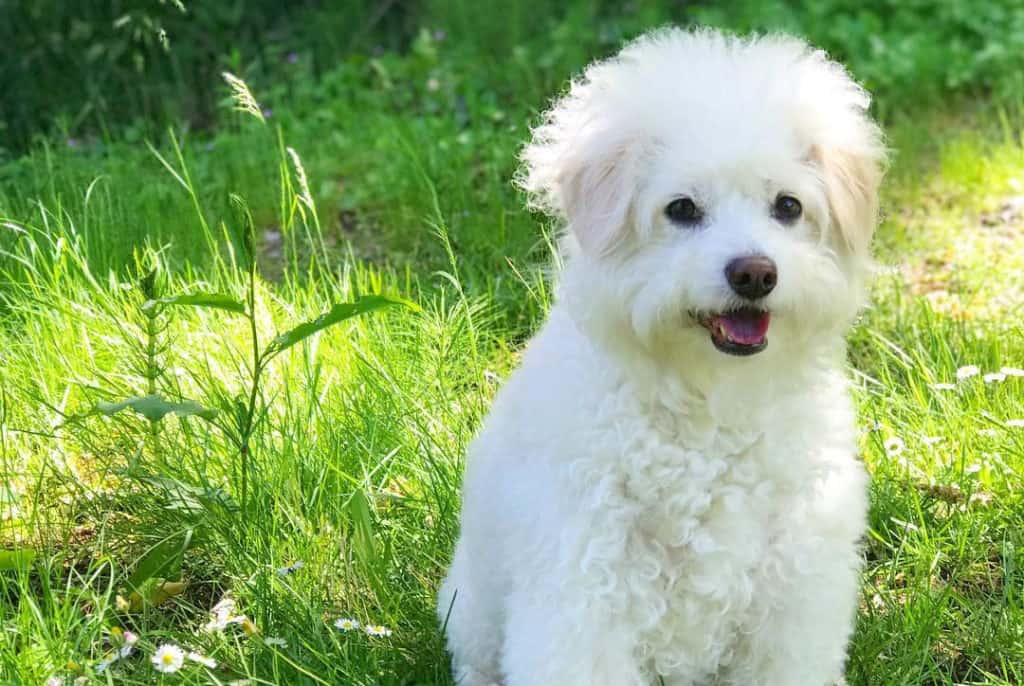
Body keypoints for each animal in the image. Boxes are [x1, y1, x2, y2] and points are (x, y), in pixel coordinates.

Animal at [440, 28, 888, 686]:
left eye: (788, 206)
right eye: (681, 208)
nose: (755, 273)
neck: (710, 403)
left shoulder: (794, 589)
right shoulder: (584, 592)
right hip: (471, 611)